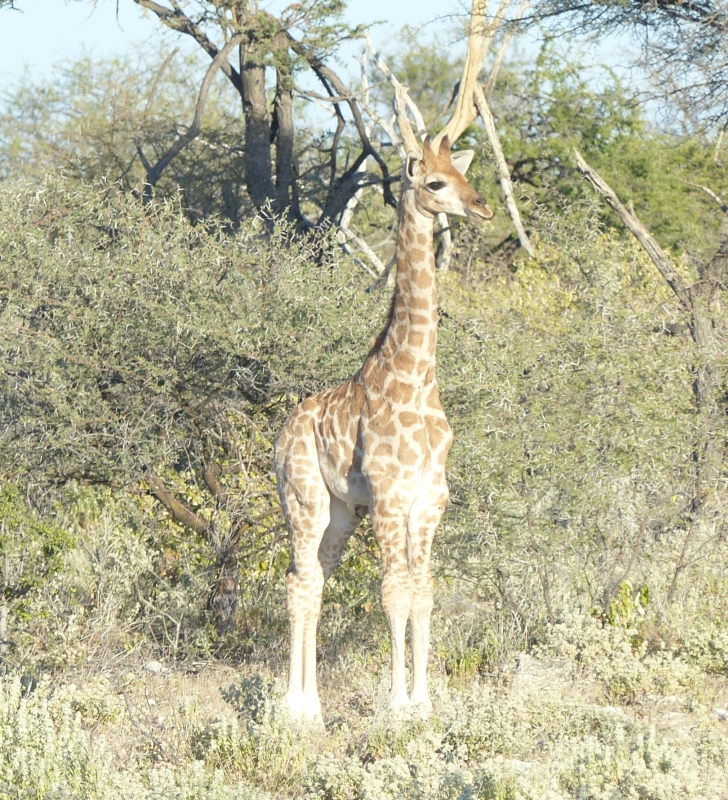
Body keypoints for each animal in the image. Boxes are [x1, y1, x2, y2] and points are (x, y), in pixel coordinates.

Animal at [274, 134, 494, 720]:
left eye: (464, 174)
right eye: (435, 182)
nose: (482, 207)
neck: (415, 376)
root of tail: (281, 433)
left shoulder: (430, 501)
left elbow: (423, 592)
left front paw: (424, 701)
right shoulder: (391, 499)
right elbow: (394, 591)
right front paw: (396, 704)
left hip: (339, 513)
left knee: (316, 581)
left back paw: (315, 707)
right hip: (303, 498)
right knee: (299, 581)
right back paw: (295, 708)